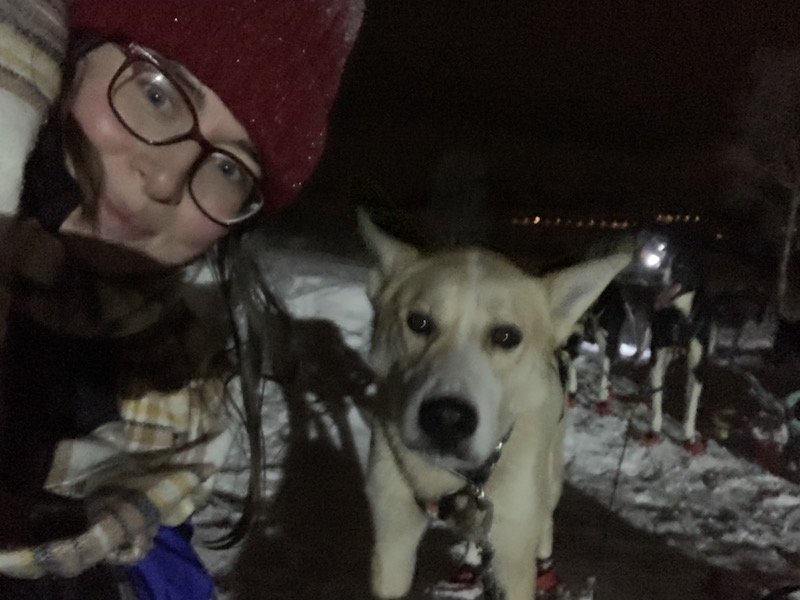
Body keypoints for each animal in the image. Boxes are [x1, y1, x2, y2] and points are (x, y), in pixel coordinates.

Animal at [358, 213, 632, 600]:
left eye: (506, 336)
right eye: (418, 322)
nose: (447, 418)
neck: (453, 480)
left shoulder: (513, 555)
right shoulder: (393, 538)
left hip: (548, 482)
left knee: (544, 523)